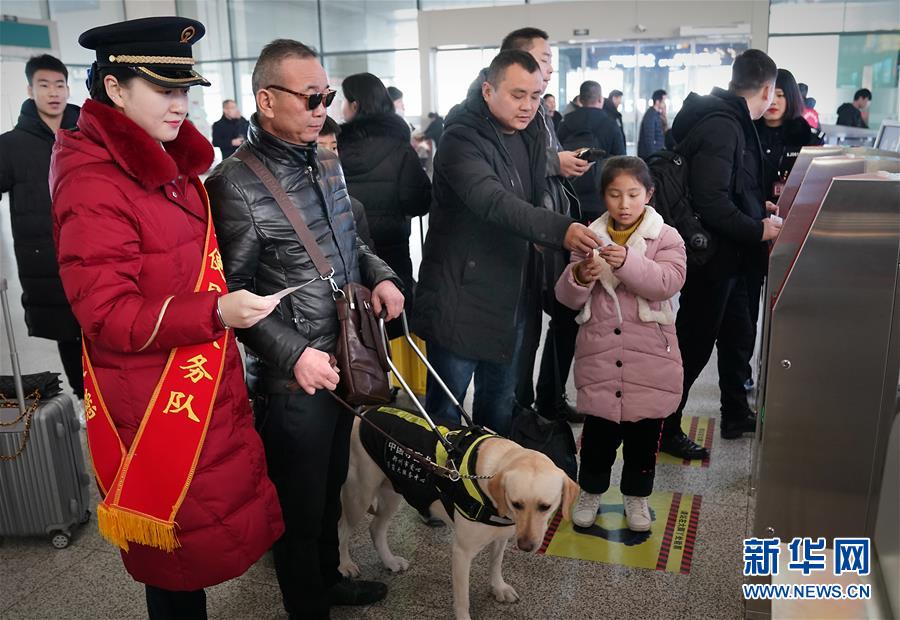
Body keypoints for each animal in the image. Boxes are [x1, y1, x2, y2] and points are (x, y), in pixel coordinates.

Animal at [338, 410, 576, 620]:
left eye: (545, 507)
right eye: (517, 504)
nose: (526, 546)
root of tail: (365, 413)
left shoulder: (500, 537)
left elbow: (495, 564)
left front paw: (498, 587)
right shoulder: (462, 552)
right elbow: (463, 599)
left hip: (393, 491)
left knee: (375, 528)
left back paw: (389, 561)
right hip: (360, 494)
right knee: (343, 529)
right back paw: (345, 564)